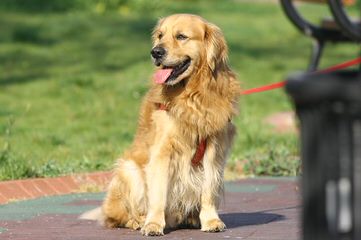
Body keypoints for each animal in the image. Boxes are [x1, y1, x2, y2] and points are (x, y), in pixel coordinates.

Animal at [81, 13, 239, 236]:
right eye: (160, 36)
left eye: (181, 36)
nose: (156, 52)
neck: (191, 96)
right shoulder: (162, 151)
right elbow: (158, 194)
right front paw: (154, 224)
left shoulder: (213, 150)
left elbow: (208, 189)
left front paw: (210, 220)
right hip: (129, 170)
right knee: (117, 217)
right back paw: (138, 221)